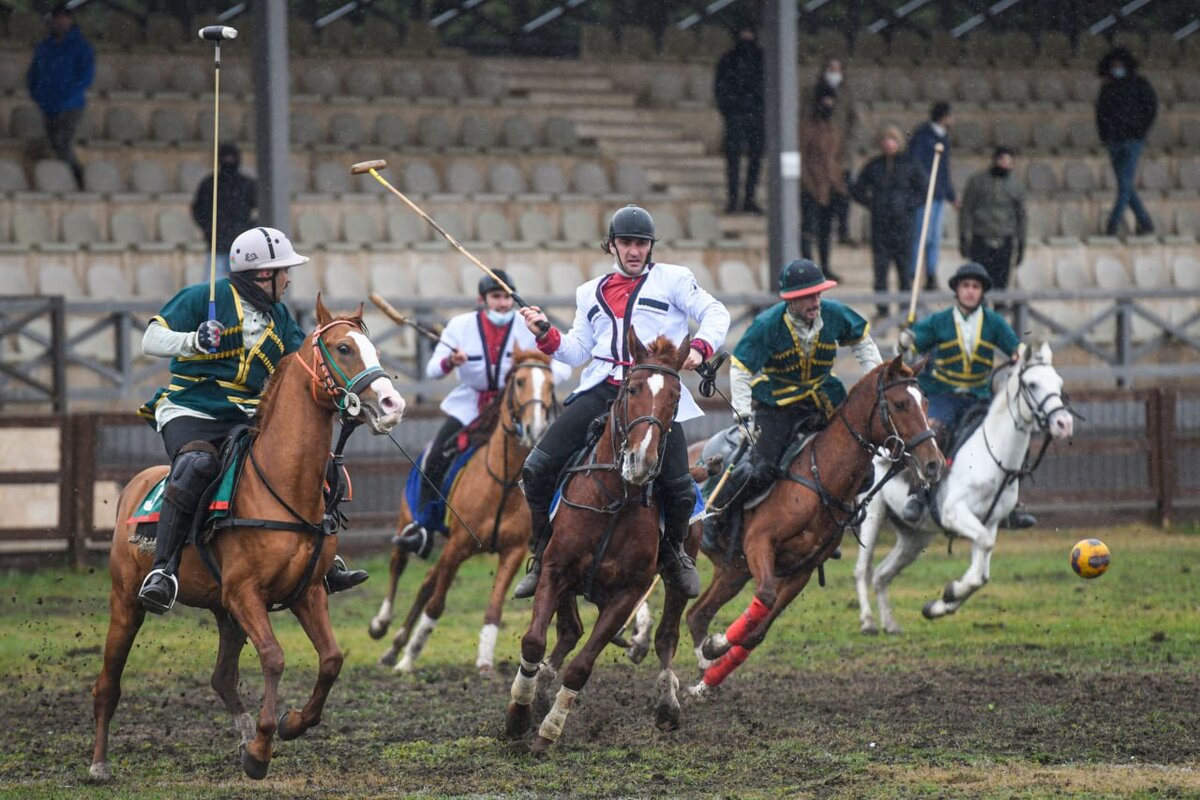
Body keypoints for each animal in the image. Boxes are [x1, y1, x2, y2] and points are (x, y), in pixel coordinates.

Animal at [88, 298, 405, 782]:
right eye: (344, 347)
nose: (392, 404)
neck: (281, 483)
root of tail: (134, 486)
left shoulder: (305, 592)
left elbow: (332, 659)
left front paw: (290, 724)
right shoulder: (245, 593)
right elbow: (274, 657)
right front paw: (261, 747)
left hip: (224, 611)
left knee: (221, 677)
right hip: (126, 601)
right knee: (108, 682)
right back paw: (100, 763)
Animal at [369, 347, 561, 671]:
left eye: (550, 384)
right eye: (520, 381)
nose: (535, 428)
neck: (503, 482)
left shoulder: (512, 552)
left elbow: (493, 608)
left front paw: (484, 660)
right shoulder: (457, 546)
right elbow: (436, 605)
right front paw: (409, 658)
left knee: (426, 580)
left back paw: (394, 647)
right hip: (408, 519)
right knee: (399, 561)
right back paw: (381, 624)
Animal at [504, 333, 700, 758]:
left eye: (676, 396)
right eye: (632, 388)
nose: (642, 461)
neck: (614, 497)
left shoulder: (627, 594)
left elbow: (581, 667)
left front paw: (548, 732)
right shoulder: (554, 570)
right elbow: (533, 641)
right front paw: (519, 713)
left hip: (676, 574)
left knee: (666, 635)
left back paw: (667, 703)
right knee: (568, 631)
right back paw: (539, 689)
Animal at [686, 357, 936, 695]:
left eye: (925, 402)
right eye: (900, 404)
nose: (934, 463)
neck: (819, 477)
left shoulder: (800, 570)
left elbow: (756, 632)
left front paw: (714, 656)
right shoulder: (759, 544)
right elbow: (764, 597)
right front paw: (717, 644)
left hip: (733, 571)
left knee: (697, 614)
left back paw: (703, 676)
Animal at [859, 340, 1075, 633]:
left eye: (1058, 383)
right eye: (1032, 384)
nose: (1063, 423)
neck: (991, 455)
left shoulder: (989, 521)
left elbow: (980, 574)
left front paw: (940, 604)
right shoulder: (956, 513)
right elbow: (981, 556)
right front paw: (950, 594)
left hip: (915, 537)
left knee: (882, 574)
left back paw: (891, 624)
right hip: (871, 516)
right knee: (862, 569)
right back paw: (868, 621)